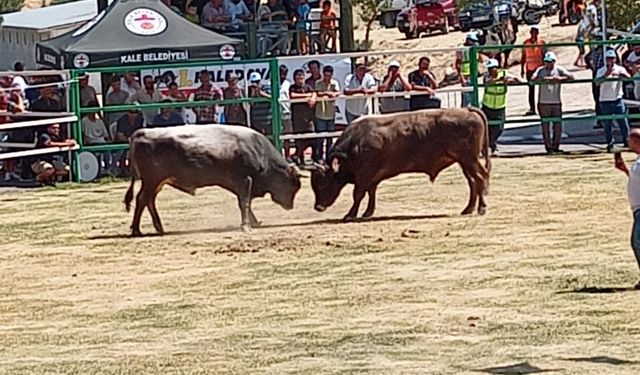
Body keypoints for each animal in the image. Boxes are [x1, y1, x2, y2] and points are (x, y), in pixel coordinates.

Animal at [126, 125, 304, 236]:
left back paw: (158, 227)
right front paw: (246, 226)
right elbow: (245, 203)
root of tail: (140, 133)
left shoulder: (238, 184)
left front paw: (253, 222)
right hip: (152, 181)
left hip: (156, 183)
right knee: (142, 199)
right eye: (293, 185)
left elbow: (243, 203)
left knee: (149, 200)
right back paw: (136, 230)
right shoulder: (244, 180)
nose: (290, 206)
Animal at [310, 106, 490, 220]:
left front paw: (350, 214)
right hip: (464, 162)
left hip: (470, 159)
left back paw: (481, 208)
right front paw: (368, 212)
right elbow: (371, 192)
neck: (357, 143)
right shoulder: (372, 177)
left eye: (323, 183)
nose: (318, 207)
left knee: (480, 178)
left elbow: (358, 194)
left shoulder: (364, 176)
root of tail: (466, 109)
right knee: (473, 182)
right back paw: (468, 209)